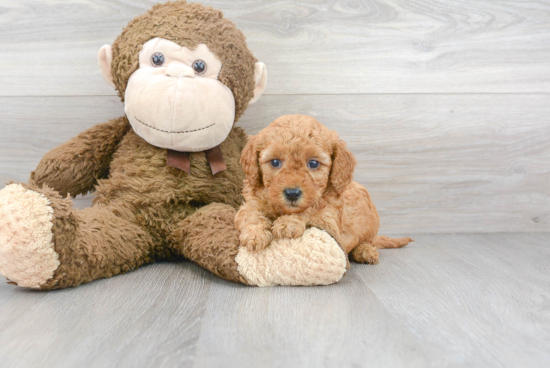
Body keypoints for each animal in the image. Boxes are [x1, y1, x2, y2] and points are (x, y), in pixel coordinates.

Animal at [237, 113, 414, 264]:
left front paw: (289, 222)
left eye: (313, 163)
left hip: (371, 224)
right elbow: (250, 215)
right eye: (275, 162)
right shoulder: (250, 204)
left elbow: (310, 211)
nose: (292, 194)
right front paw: (255, 234)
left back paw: (365, 251)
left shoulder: (330, 223)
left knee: (370, 241)